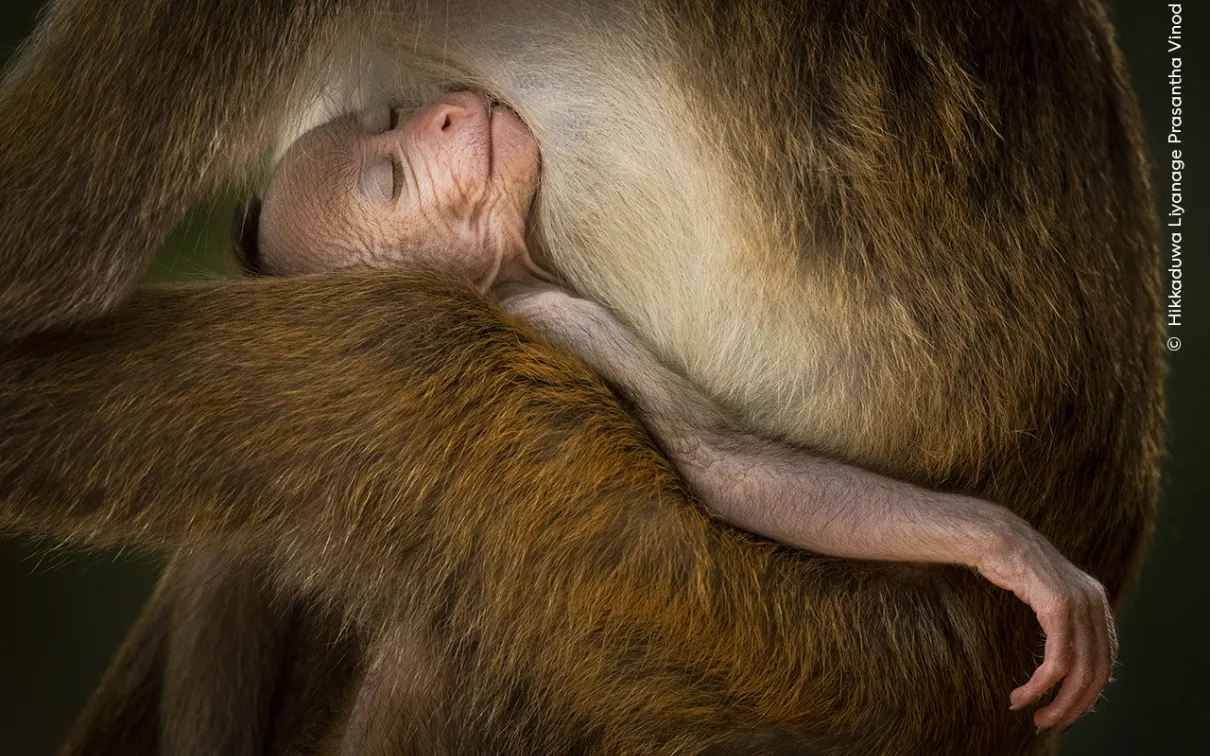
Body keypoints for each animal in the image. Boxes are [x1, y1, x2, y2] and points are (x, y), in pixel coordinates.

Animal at [252, 90, 1113, 730]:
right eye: (393, 183)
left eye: (389, 122)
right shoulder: (571, 320)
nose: (441, 115)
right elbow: (719, 469)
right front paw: (1010, 550)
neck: (505, 282)